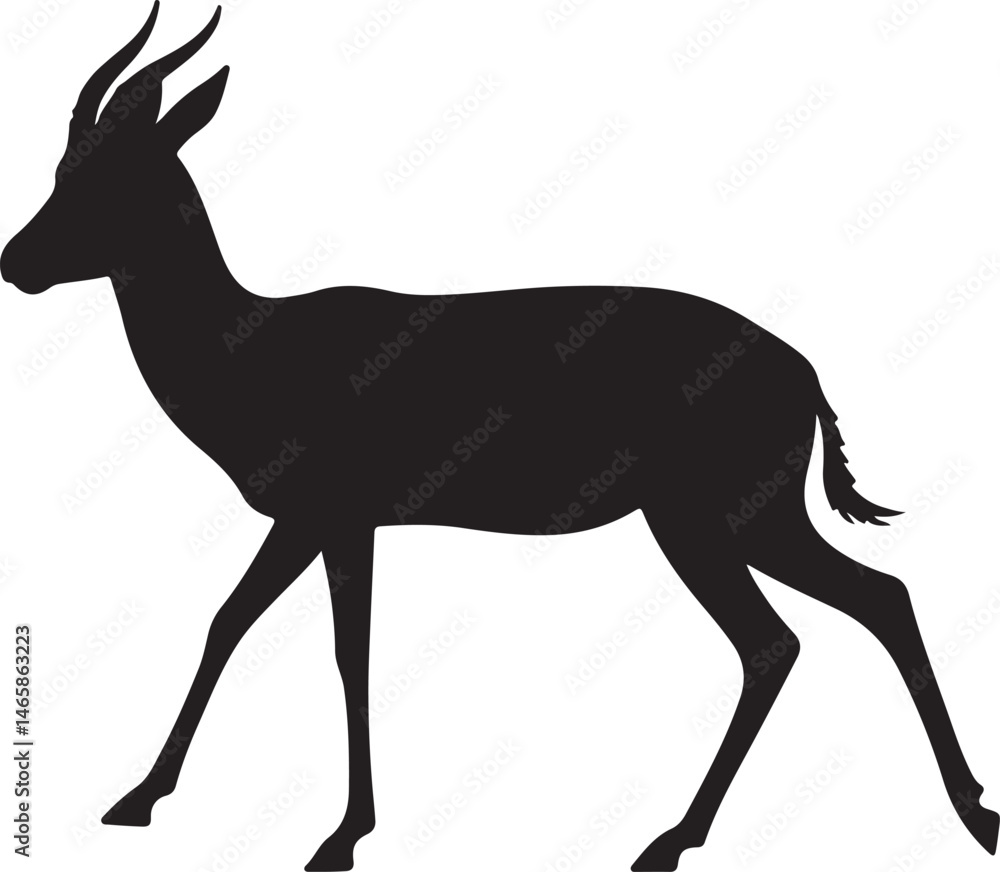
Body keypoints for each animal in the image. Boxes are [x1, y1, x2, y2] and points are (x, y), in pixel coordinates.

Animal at [2, 4, 996, 870]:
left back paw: (674, 841)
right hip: (741, 520)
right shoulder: (315, 523)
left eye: (111, 176)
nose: (16, 263)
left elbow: (342, 651)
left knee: (784, 638)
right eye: (59, 169)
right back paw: (967, 811)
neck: (251, 346)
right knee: (870, 603)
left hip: (712, 520)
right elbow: (230, 623)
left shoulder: (335, 517)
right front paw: (137, 799)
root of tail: (804, 371)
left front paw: (341, 838)